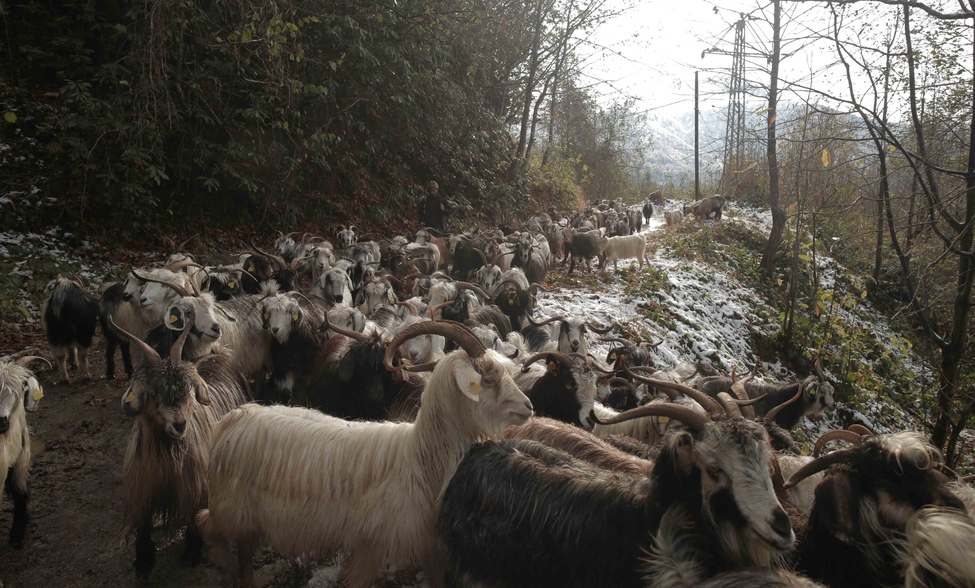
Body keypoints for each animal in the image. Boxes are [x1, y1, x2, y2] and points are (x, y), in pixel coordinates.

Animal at [111, 322, 252, 580]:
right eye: (153, 393)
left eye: (188, 391)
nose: (179, 424)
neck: (167, 458)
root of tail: (219, 354)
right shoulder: (144, 488)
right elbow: (143, 524)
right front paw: (143, 560)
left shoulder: (195, 485)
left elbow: (195, 517)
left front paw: (191, 552)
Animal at [197, 322, 532, 588]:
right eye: (488, 379)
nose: (528, 406)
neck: (421, 460)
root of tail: (234, 418)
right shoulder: (370, 545)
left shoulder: (428, 544)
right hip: (229, 508)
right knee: (207, 526)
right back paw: (226, 572)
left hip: (247, 518)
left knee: (242, 547)